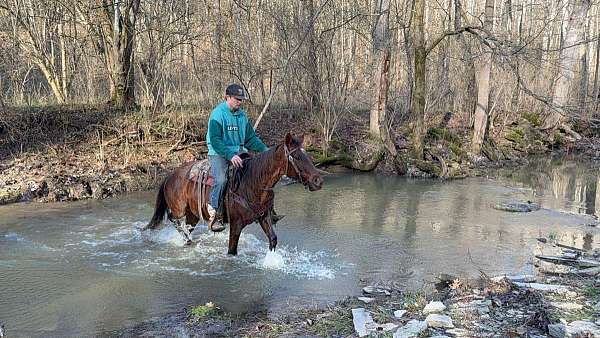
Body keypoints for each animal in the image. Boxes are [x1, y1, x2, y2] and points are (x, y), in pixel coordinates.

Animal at [143, 133, 324, 255]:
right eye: (297, 157)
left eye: (307, 154)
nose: (318, 181)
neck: (252, 183)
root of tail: (169, 175)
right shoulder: (236, 225)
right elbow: (232, 250)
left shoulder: (264, 216)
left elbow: (273, 239)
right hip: (179, 208)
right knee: (172, 218)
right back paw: (185, 237)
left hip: (192, 214)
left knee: (188, 224)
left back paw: (187, 239)